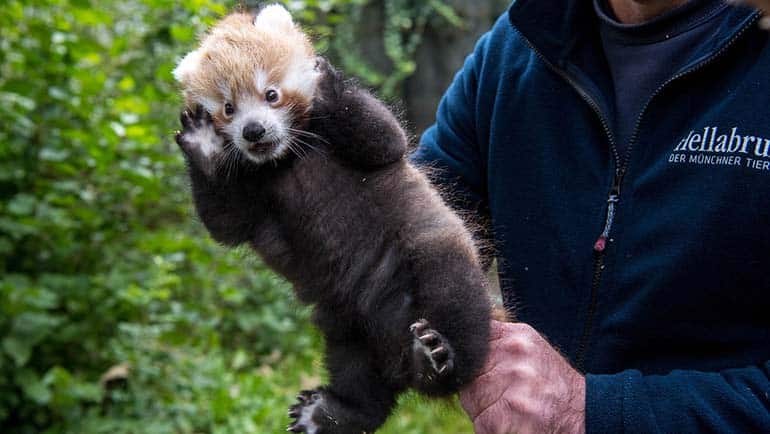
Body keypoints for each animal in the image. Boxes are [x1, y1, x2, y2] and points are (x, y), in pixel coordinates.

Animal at [171, 4, 500, 434]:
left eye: (270, 94)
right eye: (228, 107)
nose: (253, 130)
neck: (284, 160)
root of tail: (396, 351)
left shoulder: (366, 142)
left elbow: (383, 137)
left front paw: (324, 81)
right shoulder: (249, 198)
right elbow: (226, 223)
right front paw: (204, 143)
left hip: (434, 263)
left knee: (459, 307)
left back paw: (440, 358)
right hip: (342, 320)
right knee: (359, 379)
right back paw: (329, 411)